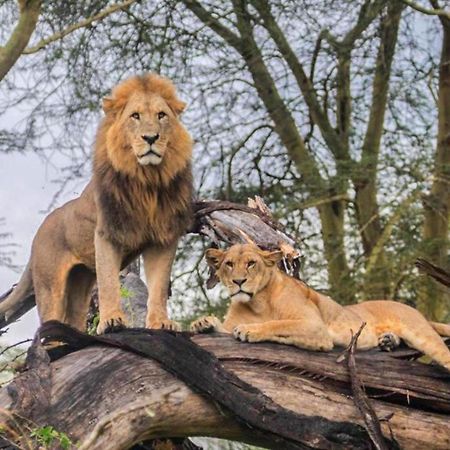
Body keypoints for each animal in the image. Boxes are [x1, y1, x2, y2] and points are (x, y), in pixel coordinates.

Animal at [0, 74, 192, 334]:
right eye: (135, 116)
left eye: (161, 115)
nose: (151, 138)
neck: (148, 180)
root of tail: (39, 233)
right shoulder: (107, 234)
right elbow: (109, 281)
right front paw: (111, 322)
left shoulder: (163, 238)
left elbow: (159, 286)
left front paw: (160, 323)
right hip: (50, 287)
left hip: (79, 282)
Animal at [192, 244, 450, 370]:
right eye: (229, 264)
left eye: (251, 263)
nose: (238, 281)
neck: (257, 302)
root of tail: (412, 308)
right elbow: (223, 329)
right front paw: (203, 322)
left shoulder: (314, 326)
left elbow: (278, 323)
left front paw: (249, 330)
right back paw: (388, 340)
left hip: (422, 332)